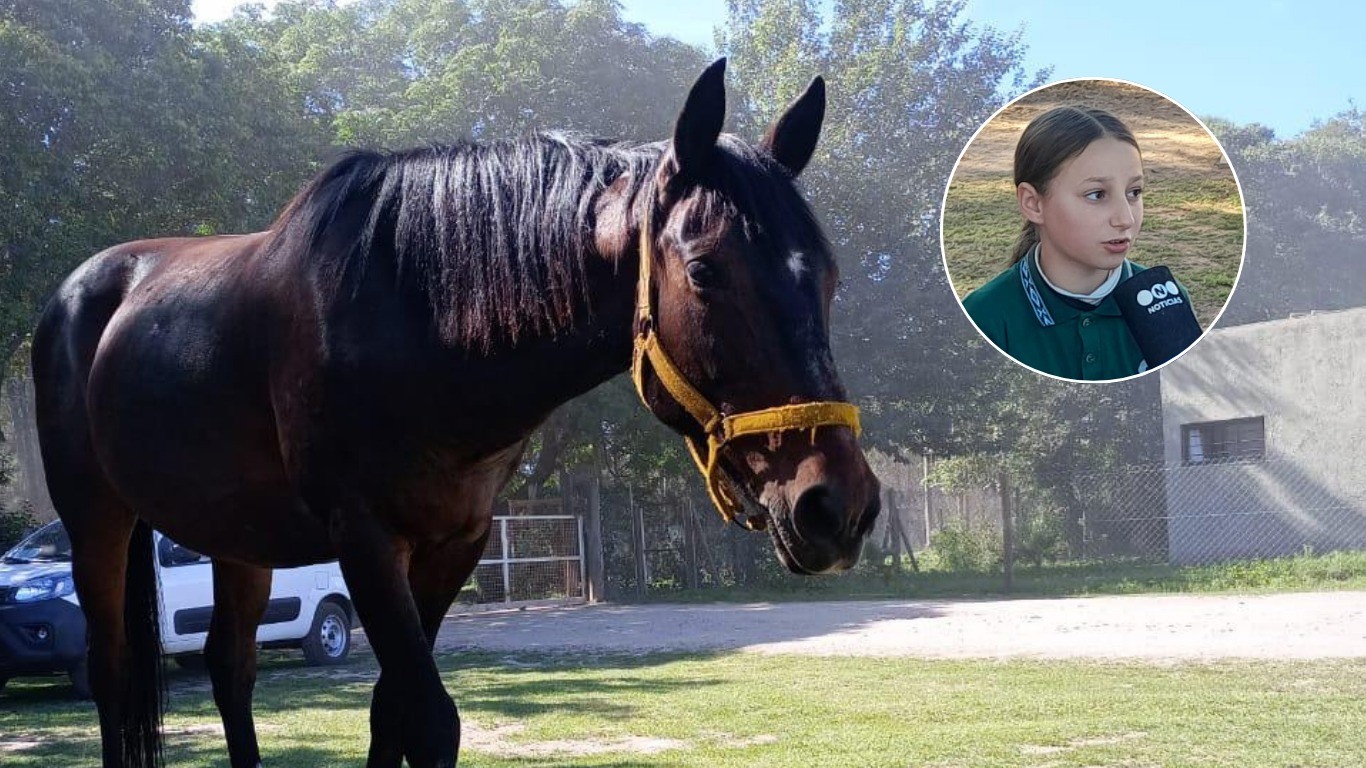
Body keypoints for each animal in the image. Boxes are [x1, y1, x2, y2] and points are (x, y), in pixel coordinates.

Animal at [31, 58, 881, 768]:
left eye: (832, 275)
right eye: (705, 269)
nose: (837, 505)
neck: (417, 320)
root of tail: (79, 291)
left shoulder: (455, 544)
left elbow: (393, 713)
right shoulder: (366, 537)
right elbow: (429, 718)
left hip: (239, 535)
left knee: (229, 667)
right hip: (96, 520)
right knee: (112, 673)